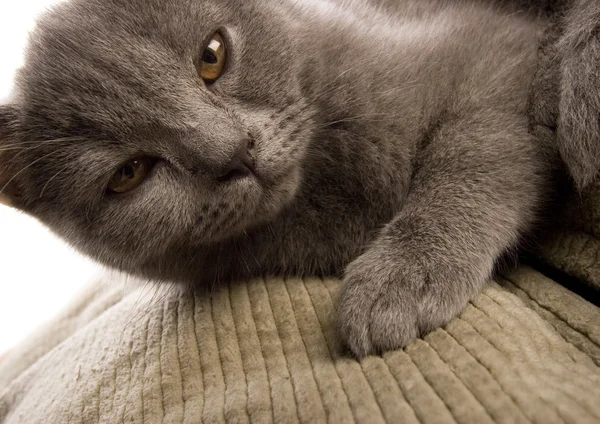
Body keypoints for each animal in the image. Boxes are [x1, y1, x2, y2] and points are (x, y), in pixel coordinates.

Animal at [0, 0, 596, 358]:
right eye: (128, 174)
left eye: (212, 55)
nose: (233, 152)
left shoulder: (492, 54)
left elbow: (469, 153)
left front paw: (403, 277)